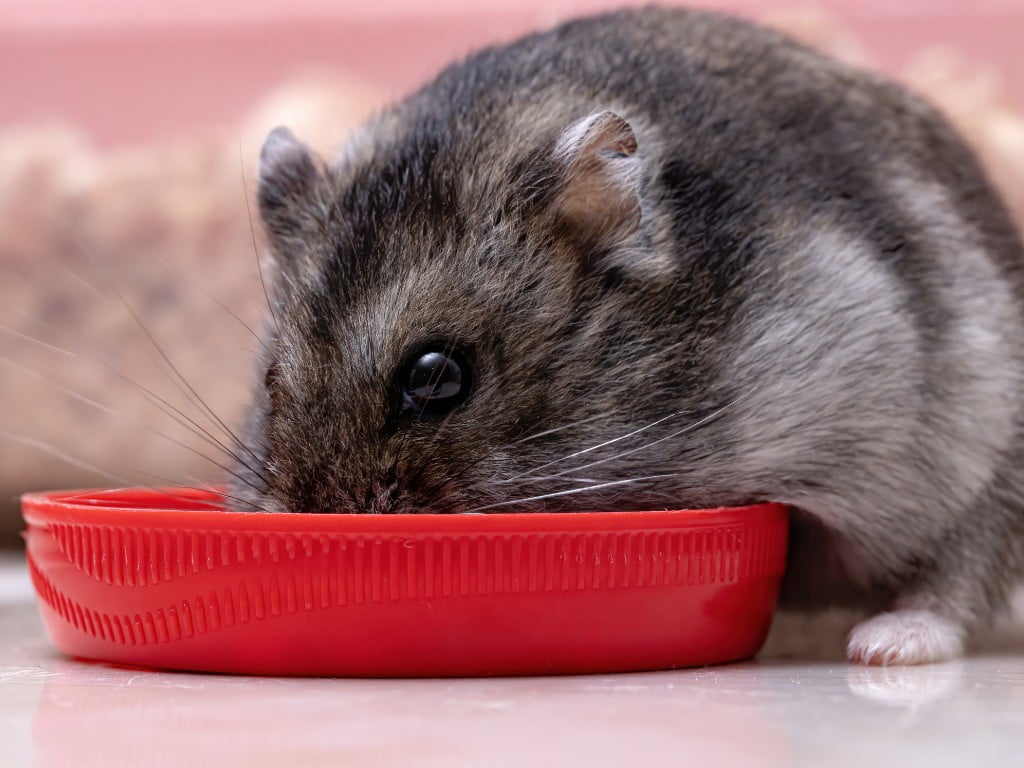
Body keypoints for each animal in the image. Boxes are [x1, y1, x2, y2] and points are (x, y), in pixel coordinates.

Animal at [230, 6, 1024, 667]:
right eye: (270, 385)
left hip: (986, 439)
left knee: (966, 567)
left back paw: (887, 645)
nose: (311, 522)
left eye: (435, 376)